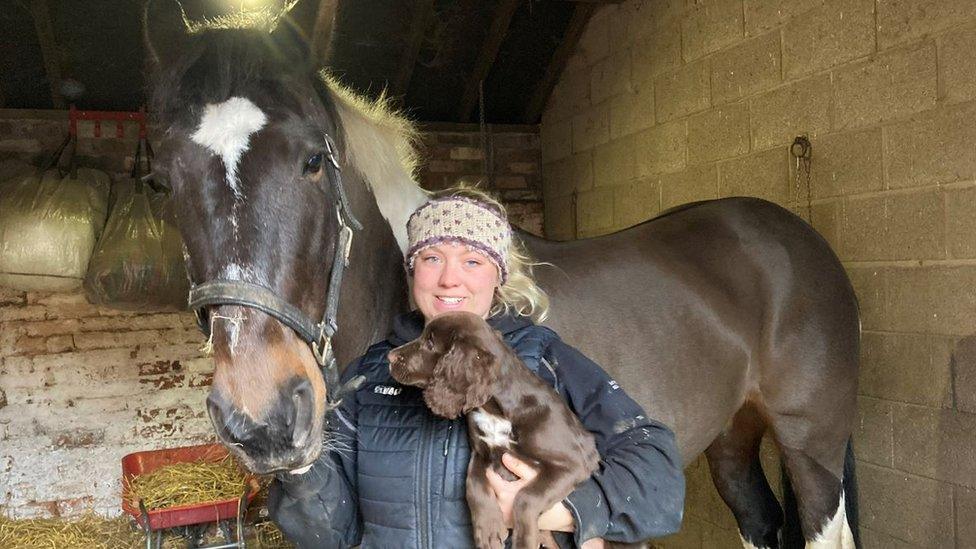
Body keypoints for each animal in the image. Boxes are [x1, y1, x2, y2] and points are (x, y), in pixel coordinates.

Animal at [386, 310, 600, 548]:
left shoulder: (574, 464)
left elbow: (527, 496)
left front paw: (523, 540)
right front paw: (488, 530)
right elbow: (472, 484)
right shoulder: (481, 452)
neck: (496, 411)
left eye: (430, 342)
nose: (390, 356)